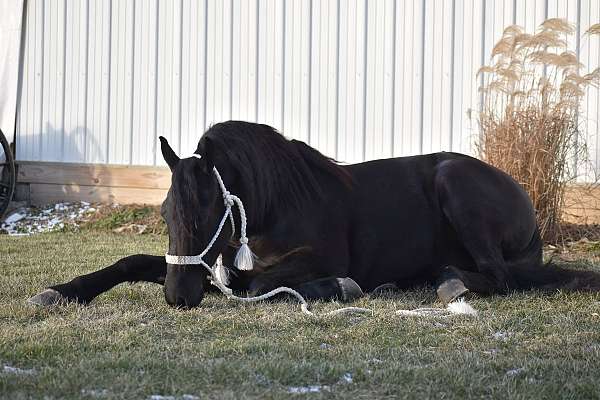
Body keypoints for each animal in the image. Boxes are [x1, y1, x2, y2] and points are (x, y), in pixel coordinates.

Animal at [30, 120, 600, 308]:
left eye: (208, 212)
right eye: (167, 213)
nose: (177, 297)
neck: (277, 205)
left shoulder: (314, 258)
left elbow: (257, 285)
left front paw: (340, 287)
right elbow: (130, 262)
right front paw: (60, 292)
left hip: (455, 185)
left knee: (498, 277)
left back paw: (449, 282)